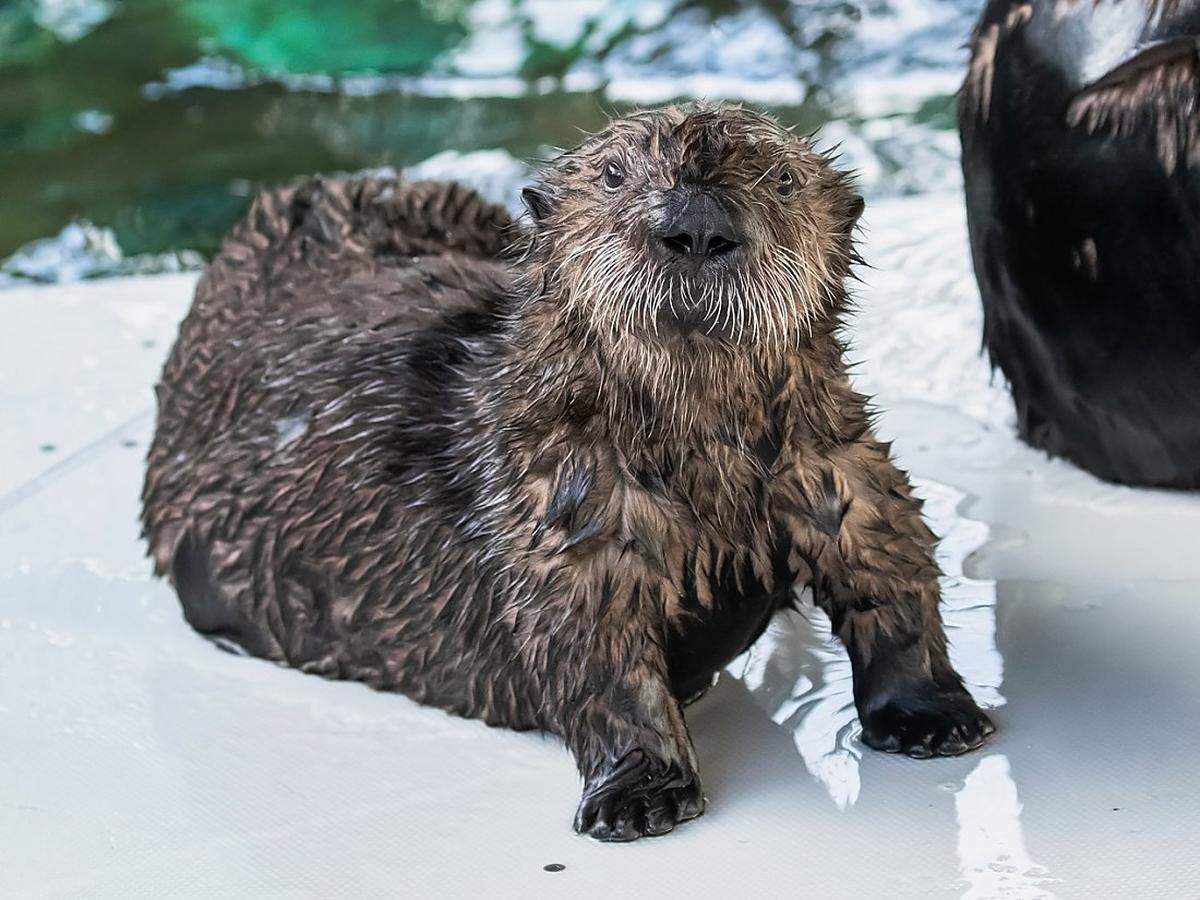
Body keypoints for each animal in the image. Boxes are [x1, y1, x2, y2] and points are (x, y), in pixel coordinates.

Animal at [142, 103, 994, 842]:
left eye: (780, 179)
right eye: (615, 175)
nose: (696, 224)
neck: (704, 458)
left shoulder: (836, 469)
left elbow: (893, 574)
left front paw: (932, 715)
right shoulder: (566, 515)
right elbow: (597, 656)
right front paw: (640, 794)